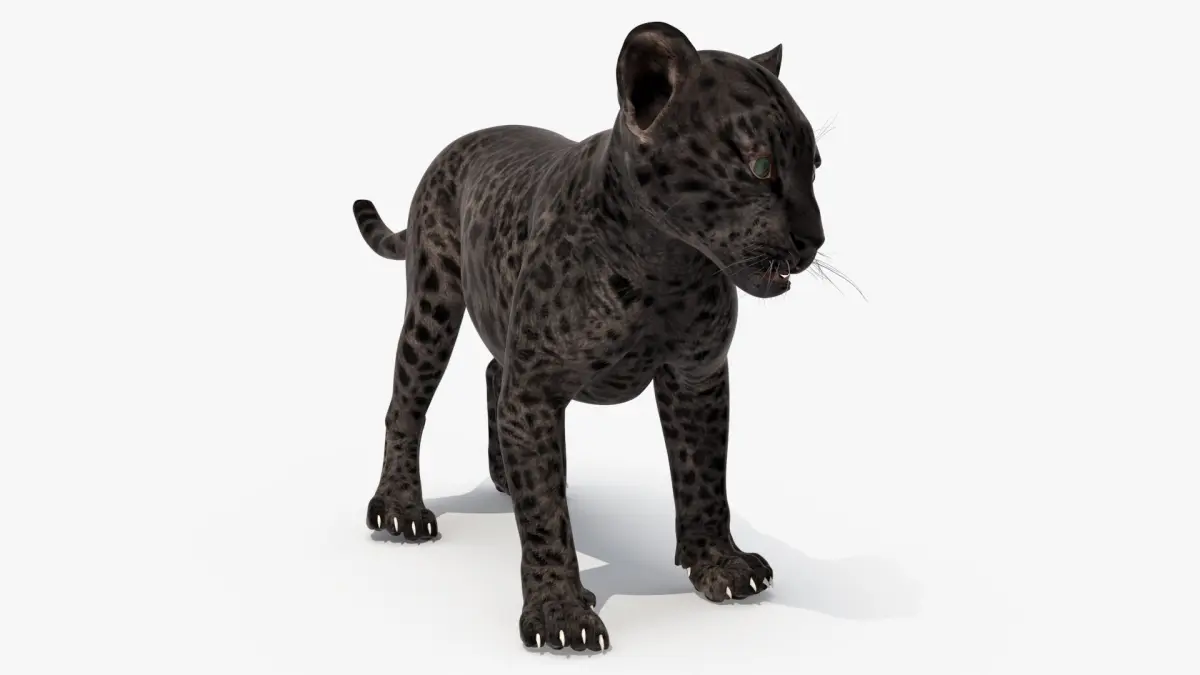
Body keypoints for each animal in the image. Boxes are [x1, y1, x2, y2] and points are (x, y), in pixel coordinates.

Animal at [351, 21, 826, 652]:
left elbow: (703, 474)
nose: (813, 240)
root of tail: (455, 145)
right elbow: (547, 516)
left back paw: (503, 475)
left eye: (816, 164)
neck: (667, 268)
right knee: (406, 402)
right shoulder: (535, 391)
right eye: (760, 167)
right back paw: (402, 509)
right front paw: (560, 614)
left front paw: (719, 566)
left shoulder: (696, 376)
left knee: (492, 370)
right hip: (432, 305)